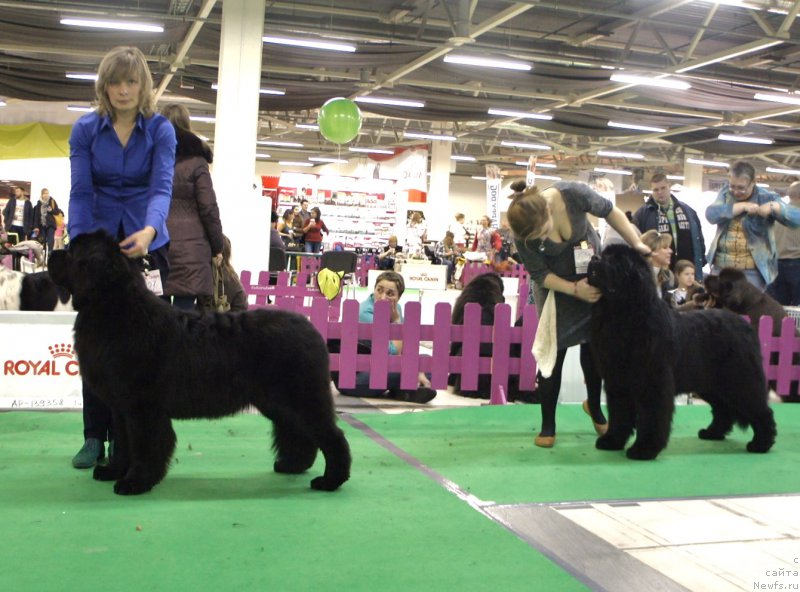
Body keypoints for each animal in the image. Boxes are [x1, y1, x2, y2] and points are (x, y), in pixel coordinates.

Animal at [49, 231, 350, 494]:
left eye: (73, 251)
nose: (52, 253)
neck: (116, 309)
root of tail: (312, 328)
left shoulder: (142, 407)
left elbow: (145, 445)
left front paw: (135, 482)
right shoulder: (121, 408)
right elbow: (123, 442)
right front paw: (113, 471)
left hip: (303, 397)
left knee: (331, 435)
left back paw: (330, 480)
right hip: (278, 402)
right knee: (298, 432)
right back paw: (292, 465)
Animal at [588, 243, 776, 460]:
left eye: (615, 260)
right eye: (604, 254)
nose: (593, 258)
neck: (621, 314)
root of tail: (745, 325)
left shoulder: (653, 381)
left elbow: (651, 417)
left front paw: (644, 449)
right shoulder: (617, 381)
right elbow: (619, 414)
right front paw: (612, 441)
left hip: (741, 380)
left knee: (760, 410)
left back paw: (761, 443)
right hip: (711, 384)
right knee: (723, 409)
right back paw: (712, 433)